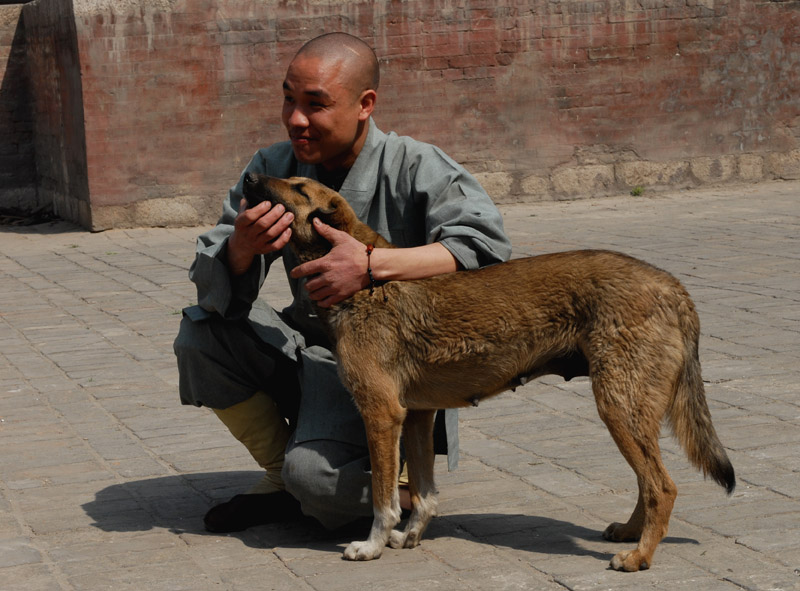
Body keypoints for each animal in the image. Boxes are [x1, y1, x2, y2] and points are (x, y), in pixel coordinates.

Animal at [241, 173, 736, 572]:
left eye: (299, 187)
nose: (249, 178)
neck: (365, 283)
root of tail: (672, 286)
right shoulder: (418, 416)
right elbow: (425, 493)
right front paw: (412, 536)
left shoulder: (382, 414)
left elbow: (384, 499)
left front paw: (372, 546)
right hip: (628, 412)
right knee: (647, 481)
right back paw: (631, 532)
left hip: (618, 406)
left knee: (662, 487)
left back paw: (639, 556)